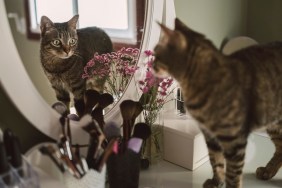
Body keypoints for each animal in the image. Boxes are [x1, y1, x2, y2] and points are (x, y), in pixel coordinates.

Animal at [153, 18, 282, 188]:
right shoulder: (210, 135)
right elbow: (216, 161)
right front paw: (216, 181)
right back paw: (268, 171)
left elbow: (233, 174)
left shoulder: (235, 141)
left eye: (156, 52)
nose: (151, 64)